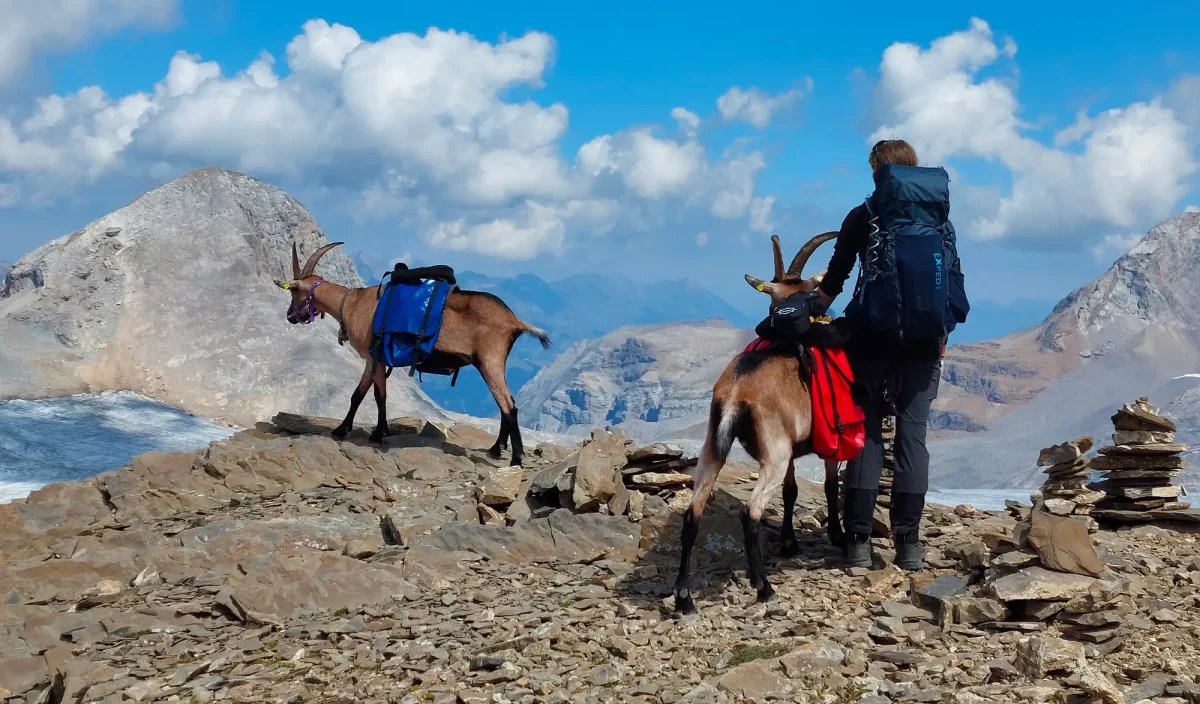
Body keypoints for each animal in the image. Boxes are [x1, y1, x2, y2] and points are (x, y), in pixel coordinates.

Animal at [274, 243, 549, 467]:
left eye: (295, 292)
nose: (290, 316)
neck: (351, 303)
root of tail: (514, 321)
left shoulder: (376, 356)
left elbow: (379, 395)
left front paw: (377, 434)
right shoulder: (371, 359)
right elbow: (358, 394)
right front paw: (343, 429)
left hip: (489, 361)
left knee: (508, 405)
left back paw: (516, 458)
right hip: (494, 363)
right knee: (506, 402)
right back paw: (495, 449)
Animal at [676, 233, 844, 614]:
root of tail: (736, 393)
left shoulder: (792, 448)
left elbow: (792, 490)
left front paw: (789, 542)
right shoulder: (821, 444)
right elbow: (830, 486)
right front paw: (837, 536)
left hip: (713, 447)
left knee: (693, 513)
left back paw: (683, 598)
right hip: (773, 456)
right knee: (750, 512)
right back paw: (763, 587)